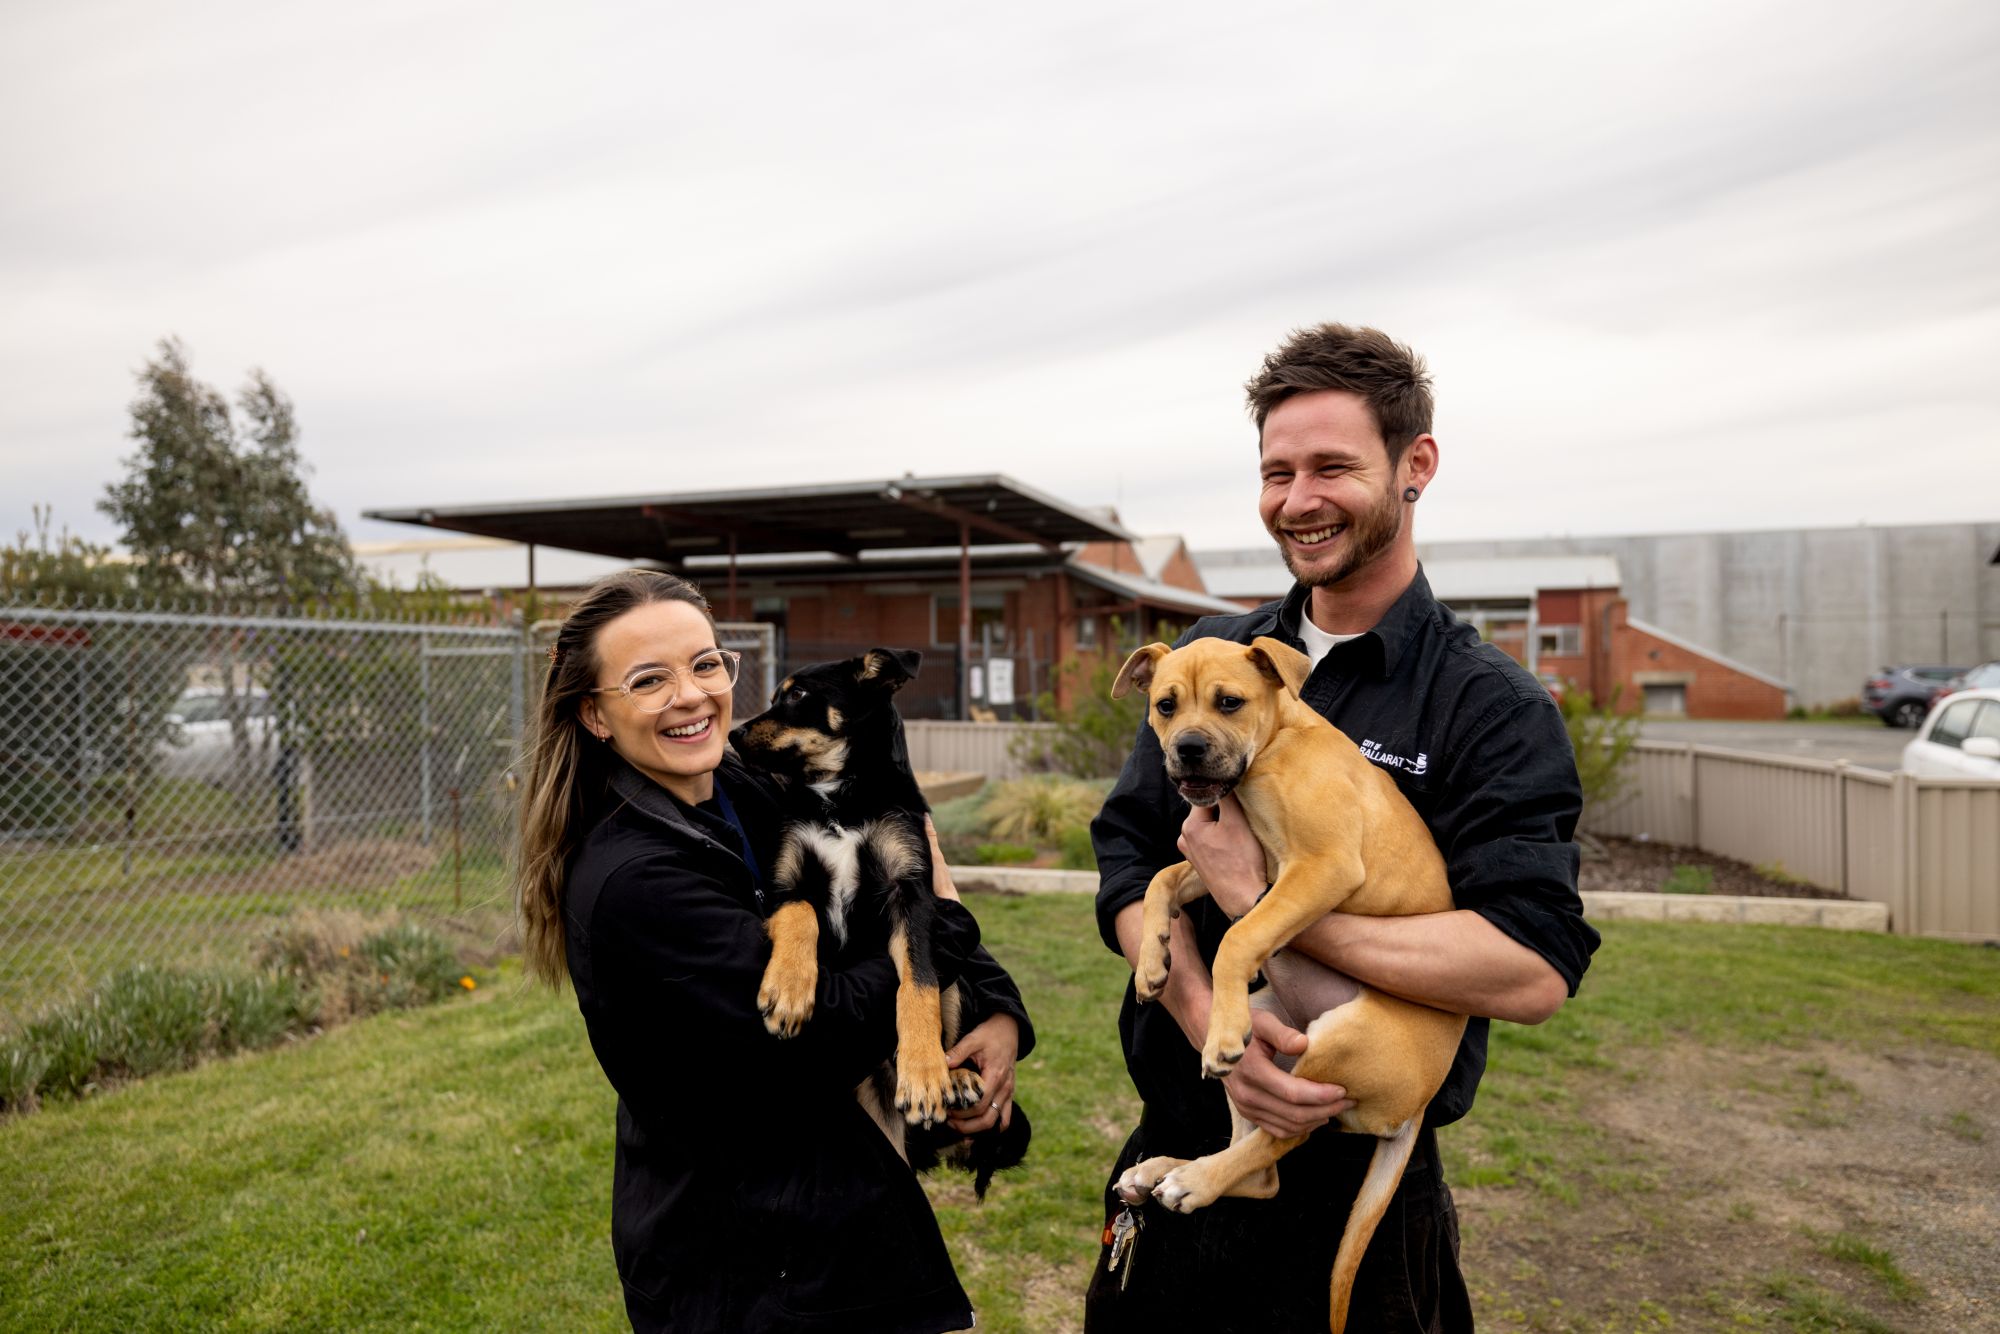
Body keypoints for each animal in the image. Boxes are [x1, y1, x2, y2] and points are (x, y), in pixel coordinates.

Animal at [728, 648, 1032, 1200]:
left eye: (798, 694)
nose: (734, 736)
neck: (839, 797)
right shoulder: (788, 885)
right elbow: (804, 916)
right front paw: (788, 989)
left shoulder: (911, 893)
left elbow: (919, 982)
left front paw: (925, 1069)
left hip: (955, 984)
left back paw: (954, 1077)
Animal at [1104, 636, 1464, 1334]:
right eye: (1165, 705)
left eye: (1229, 702)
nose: (1188, 747)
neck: (1273, 748)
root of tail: (1416, 1106)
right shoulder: (1231, 860)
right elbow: (1162, 876)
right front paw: (1153, 962)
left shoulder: (1321, 867)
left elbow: (1240, 936)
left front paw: (1217, 1025)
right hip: (1271, 1031)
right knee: (1262, 1168)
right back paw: (1169, 1170)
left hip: (1341, 1040)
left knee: (1287, 1136)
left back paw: (1194, 1178)